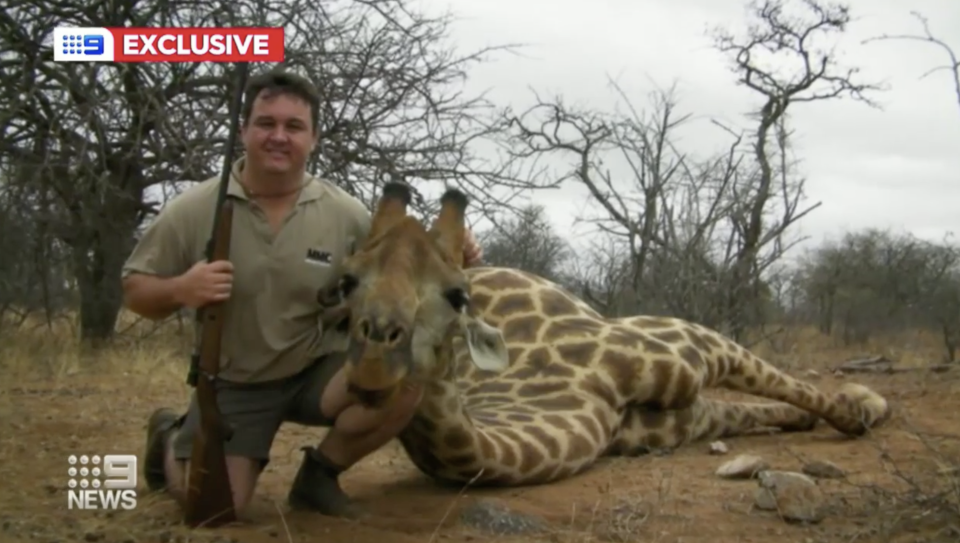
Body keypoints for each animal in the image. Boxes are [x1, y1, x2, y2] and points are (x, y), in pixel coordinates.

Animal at [324, 183, 892, 488]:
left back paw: (868, 402)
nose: (372, 363)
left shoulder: (688, 350)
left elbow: (796, 389)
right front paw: (848, 411)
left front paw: (860, 413)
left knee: (780, 383)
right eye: (346, 281)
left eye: (457, 296)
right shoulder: (673, 421)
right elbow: (760, 407)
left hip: (679, 334)